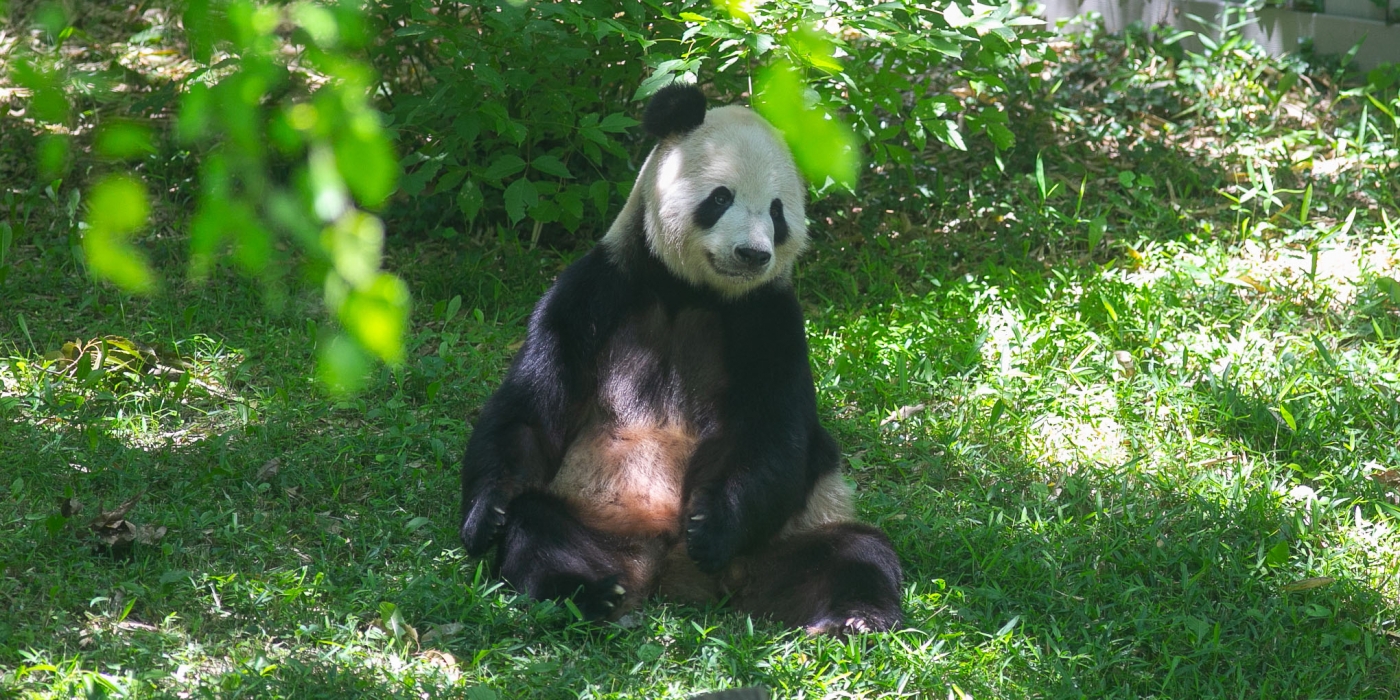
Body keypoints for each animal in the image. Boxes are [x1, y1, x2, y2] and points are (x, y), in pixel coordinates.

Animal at [453, 81, 901, 635]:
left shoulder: (769, 320)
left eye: (777, 212)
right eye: (721, 197)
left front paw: (710, 529)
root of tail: (672, 574)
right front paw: (484, 515)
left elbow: (771, 434)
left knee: (856, 552)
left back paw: (854, 618)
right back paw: (589, 594)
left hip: (795, 533)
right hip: (593, 516)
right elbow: (532, 407)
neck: (690, 293)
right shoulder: (596, 291)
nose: (752, 254)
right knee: (539, 527)